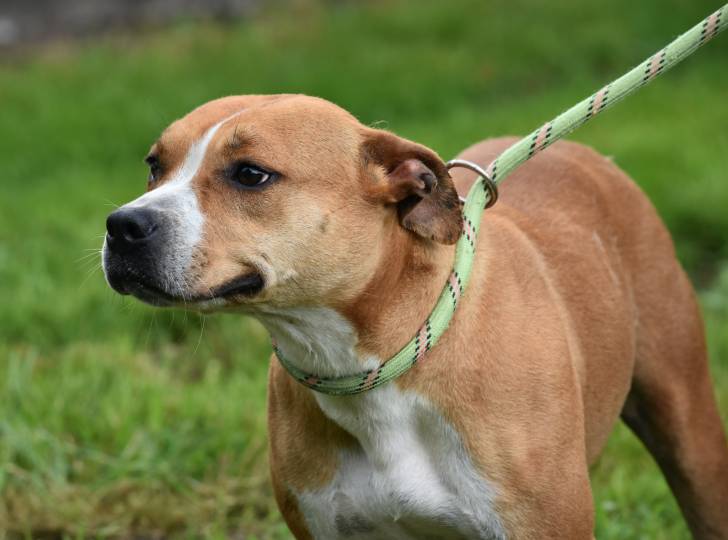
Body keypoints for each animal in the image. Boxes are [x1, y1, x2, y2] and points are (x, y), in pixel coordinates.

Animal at [102, 95, 728, 536]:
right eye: (154, 166)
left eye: (251, 174)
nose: (124, 225)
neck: (372, 366)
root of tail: (588, 156)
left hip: (690, 433)